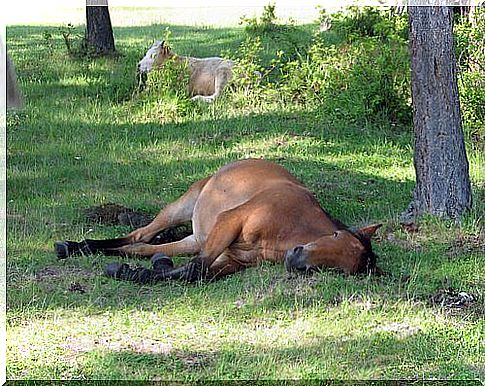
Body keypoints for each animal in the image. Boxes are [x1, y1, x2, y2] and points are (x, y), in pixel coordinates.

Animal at [55, 159, 382, 284]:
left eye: (339, 269)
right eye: (336, 236)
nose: (296, 259)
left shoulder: (230, 259)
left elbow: (195, 273)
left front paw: (135, 273)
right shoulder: (230, 221)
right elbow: (196, 268)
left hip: (195, 238)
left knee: (140, 247)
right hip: (180, 209)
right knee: (139, 235)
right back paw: (74, 246)